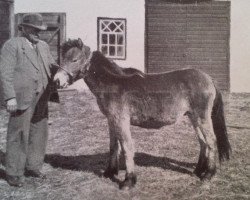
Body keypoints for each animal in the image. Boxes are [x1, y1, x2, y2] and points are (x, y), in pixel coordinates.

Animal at [53, 38, 231, 190]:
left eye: (75, 59)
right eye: (62, 59)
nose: (56, 81)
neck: (112, 83)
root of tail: (208, 78)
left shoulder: (121, 120)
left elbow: (126, 147)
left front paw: (128, 181)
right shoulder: (112, 120)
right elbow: (113, 146)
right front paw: (109, 172)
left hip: (201, 117)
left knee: (211, 141)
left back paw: (209, 174)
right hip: (194, 117)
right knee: (203, 142)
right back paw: (198, 170)